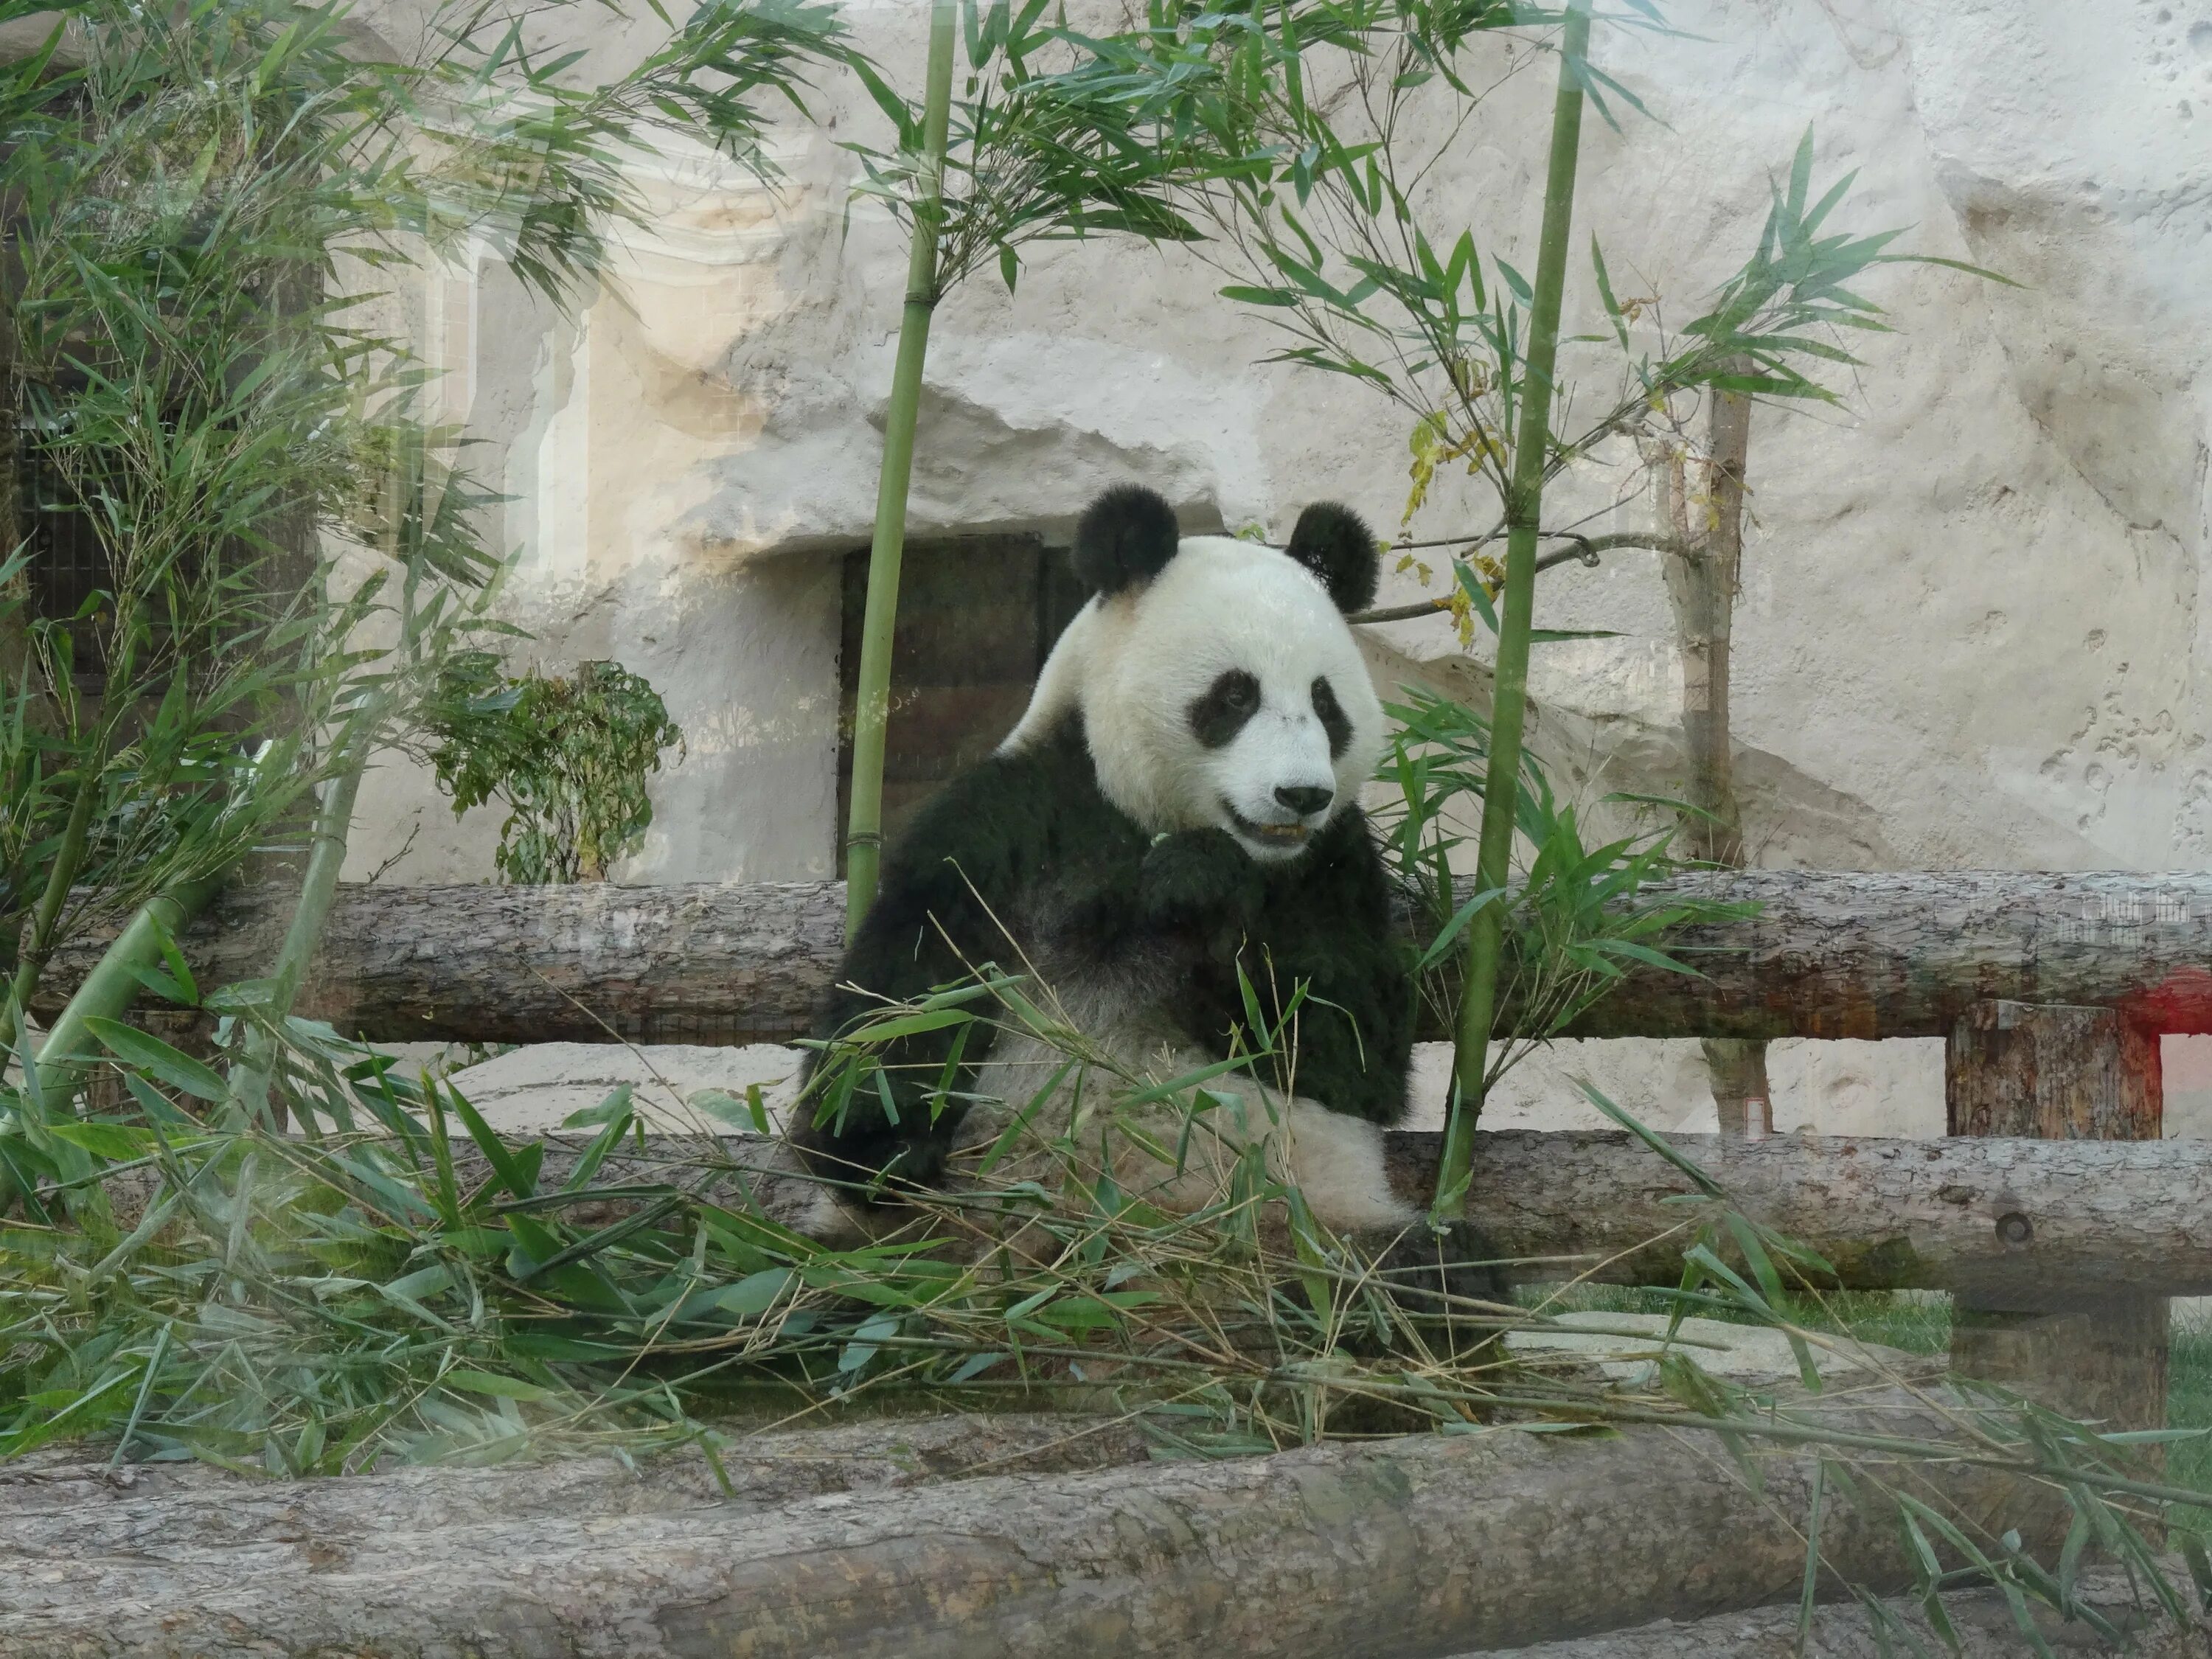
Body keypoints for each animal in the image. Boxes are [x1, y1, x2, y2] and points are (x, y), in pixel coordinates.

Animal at [796, 480, 1504, 1301]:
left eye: (1327, 705)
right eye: (1235, 697)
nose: (1300, 796)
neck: (1159, 823)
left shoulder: (1336, 863)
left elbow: (1353, 1052)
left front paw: (1203, 893)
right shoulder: (1015, 819)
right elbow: (902, 995)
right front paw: (886, 1142)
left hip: (1320, 1225)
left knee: (1438, 1276)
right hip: (896, 1253)